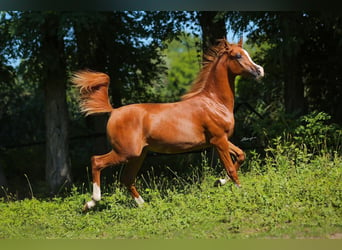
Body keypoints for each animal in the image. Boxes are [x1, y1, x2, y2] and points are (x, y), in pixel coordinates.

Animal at [72, 38, 264, 210]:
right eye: (238, 55)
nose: (259, 71)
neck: (214, 103)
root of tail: (114, 111)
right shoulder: (219, 140)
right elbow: (231, 168)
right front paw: (243, 193)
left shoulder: (219, 140)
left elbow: (241, 155)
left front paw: (219, 181)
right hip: (125, 152)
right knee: (96, 161)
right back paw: (91, 202)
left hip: (138, 155)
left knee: (127, 178)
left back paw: (143, 205)